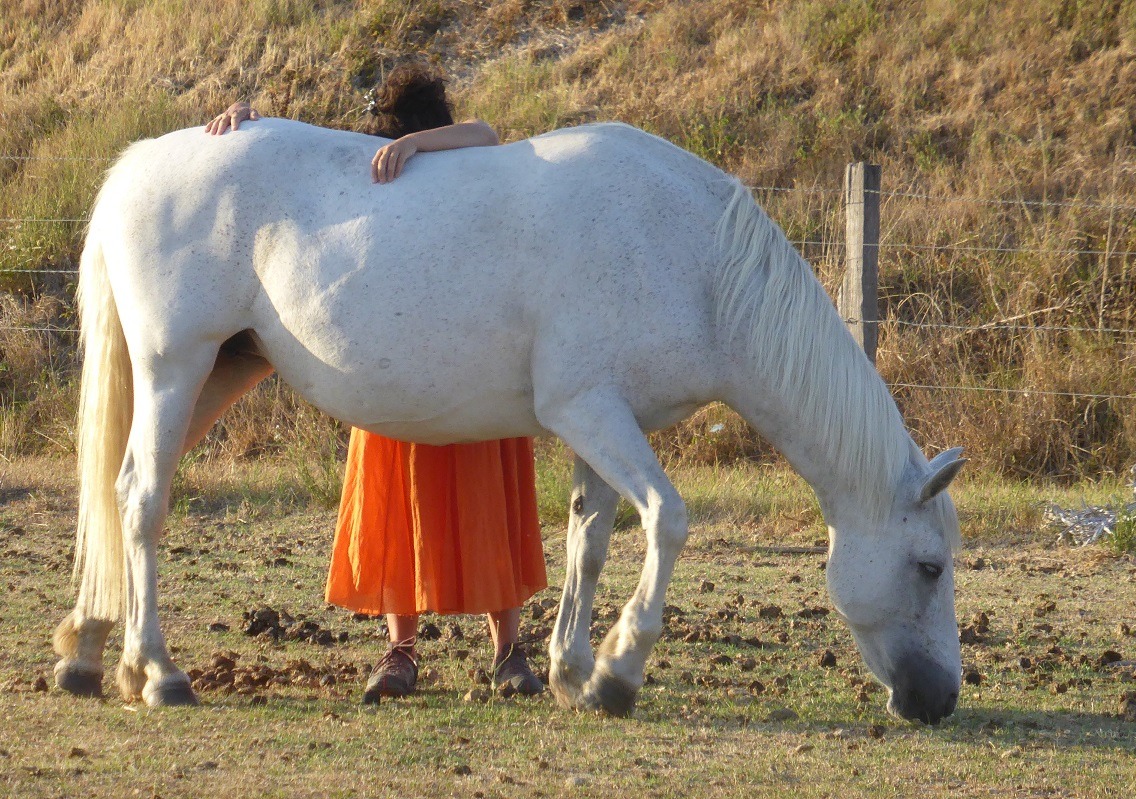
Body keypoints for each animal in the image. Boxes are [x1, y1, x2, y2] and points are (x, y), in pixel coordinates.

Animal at [52, 118, 966, 724]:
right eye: (928, 567)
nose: (939, 699)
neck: (696, 259)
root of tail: (140, 162)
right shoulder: (589, 410)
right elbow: (669, 519)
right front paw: (620, 672)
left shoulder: (604, 421)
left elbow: (589, 539)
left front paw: (570, 670)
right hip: (175, 368)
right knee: (144, 501)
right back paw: (157, 672)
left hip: (218, 371)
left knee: (119, 489)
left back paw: (89, 648)